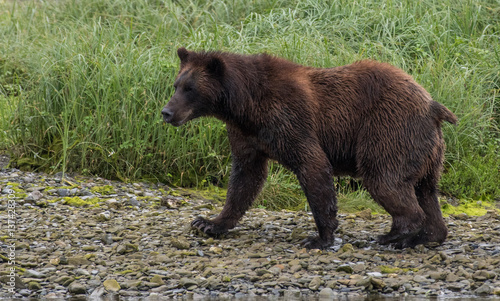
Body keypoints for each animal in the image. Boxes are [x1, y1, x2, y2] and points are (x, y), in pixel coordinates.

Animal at [163, 47, 458, 248]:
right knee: (425, 190)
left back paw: (394, 234)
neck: (246, 106)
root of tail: (432, 105)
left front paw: (319, 238)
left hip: (388, 129)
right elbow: (245, 177)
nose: (167, 112)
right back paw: (428, 235)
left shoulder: (289, 119)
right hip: (427, 150)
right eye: (176, 84)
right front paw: (208, 223)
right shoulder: (246, 135)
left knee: (385, 179)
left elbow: (312, 165)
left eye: (190, 88)